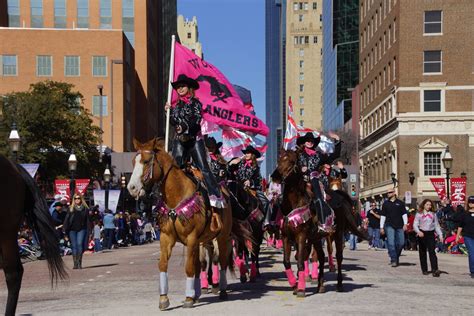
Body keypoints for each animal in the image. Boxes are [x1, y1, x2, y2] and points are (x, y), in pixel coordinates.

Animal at [128, 138, 233, 308]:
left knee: (221, 261)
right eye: (133, 162)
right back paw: (198, 293)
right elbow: (163, 264)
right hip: (202, 241)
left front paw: (189, 299)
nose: (132, 188)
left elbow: (189, 267)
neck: (177, 195)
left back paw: (221, 290)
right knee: (200, 264)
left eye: (146, 161)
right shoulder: (166, 237)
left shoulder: (191, 238)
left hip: (222, 237)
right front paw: (164, 298)